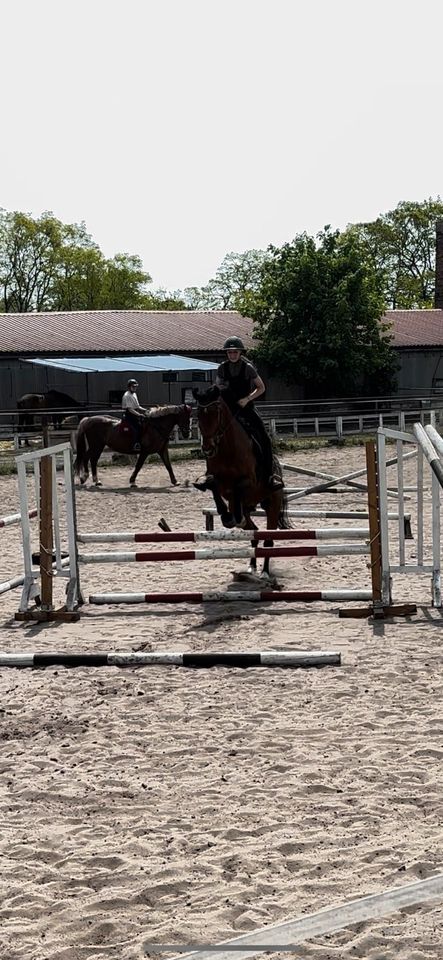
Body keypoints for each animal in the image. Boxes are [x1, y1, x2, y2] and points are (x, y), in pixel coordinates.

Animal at [193, 388, 290, 580]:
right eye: (198, 414)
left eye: (216, 413)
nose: (207, 449)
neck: (227, 448)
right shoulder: (219, 482)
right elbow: (212, 484)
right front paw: (225, 515)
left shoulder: (249, 481)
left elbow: (239, 485)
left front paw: (231, 517)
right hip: (247, 507)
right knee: (254, 532)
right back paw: (251, 567)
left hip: (272, 505)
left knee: (268, 539)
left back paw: (265, 572)